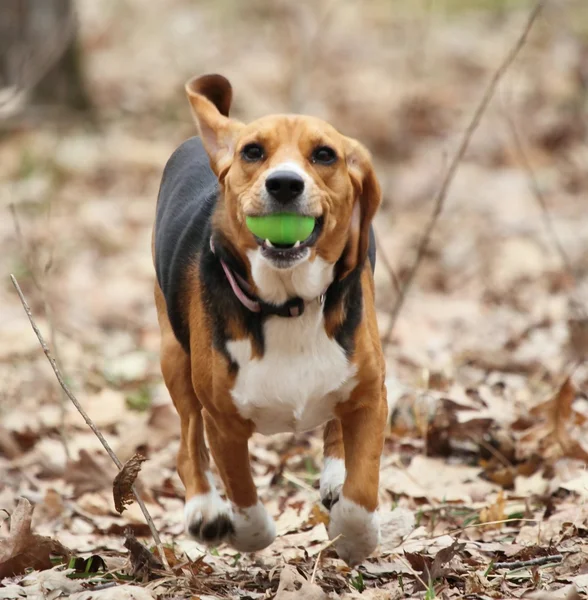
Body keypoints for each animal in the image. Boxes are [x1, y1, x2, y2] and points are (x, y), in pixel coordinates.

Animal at [154, 75, 388, 568]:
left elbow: (363, 488)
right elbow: (243, 493)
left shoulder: (372, 396)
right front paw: (248, 533)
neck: (288, 303)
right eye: (253, 152)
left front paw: (354, 537)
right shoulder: (223, 421)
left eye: (325, 155)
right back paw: (204, 508)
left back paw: (334, 475)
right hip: (173, 356)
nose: (284, 184)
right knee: (188, 442)